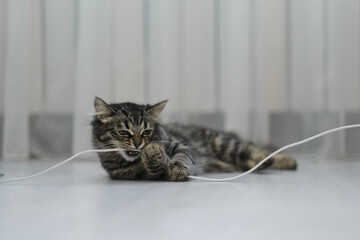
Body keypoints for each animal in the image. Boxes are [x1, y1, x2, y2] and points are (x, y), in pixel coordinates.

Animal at [91, 96, 296, 181]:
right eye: (124, 133)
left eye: (146, 132)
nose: (138, 144)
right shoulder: (143, 175)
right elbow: (157, 167)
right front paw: (154, 153)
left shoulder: (181, 146)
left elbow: (181, 158)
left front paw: (177, 167)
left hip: (223, 143)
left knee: (253, 149)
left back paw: (276, 160)